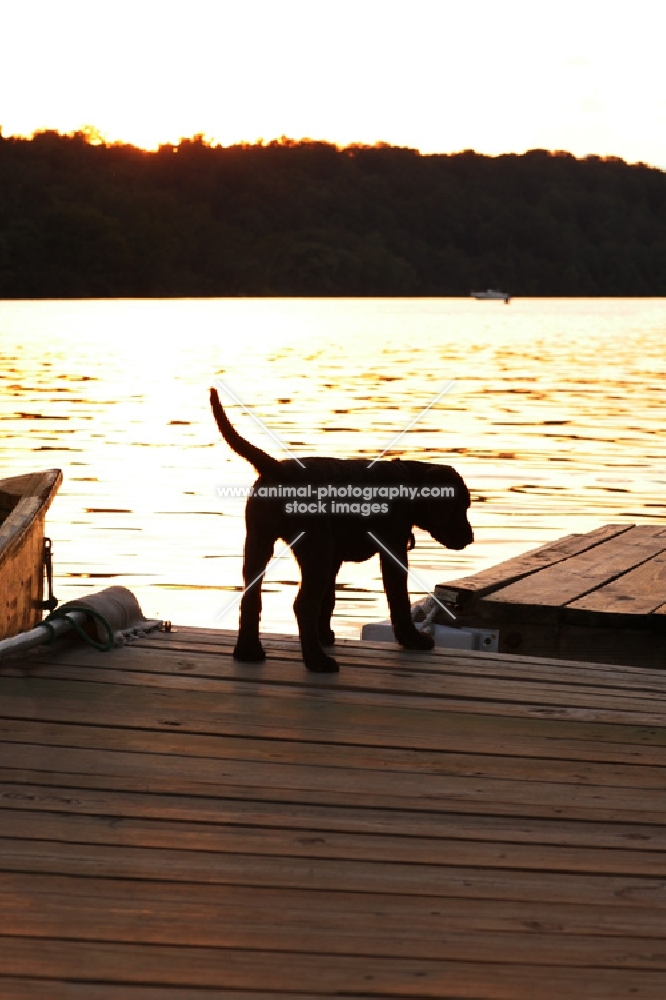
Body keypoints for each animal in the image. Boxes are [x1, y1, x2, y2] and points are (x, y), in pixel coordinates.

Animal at [210, 386, 470, 676]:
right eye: (460, 507)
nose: (470, 538)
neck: (405, 482)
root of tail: (277, 469)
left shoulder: (334, 560)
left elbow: (329, 599)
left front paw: (324, 635)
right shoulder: (391, 551)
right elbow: (399, 600)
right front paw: (411, 639)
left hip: (260, 542)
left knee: (251, 597)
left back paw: (249, 651)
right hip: (315, 549)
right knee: (303, 605)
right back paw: (317, 661)